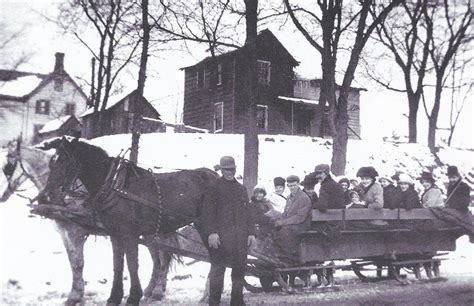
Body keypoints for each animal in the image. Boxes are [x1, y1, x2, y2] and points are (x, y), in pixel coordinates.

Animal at [0, 139, 180, 304]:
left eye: (8, 166)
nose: (2, 197)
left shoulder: (76, 233)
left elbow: (78, 263)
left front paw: (75, 295)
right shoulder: (64, 234)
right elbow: (73, 262)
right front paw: (76, 293)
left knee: (165, 255)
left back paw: (157, 291)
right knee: (158, 258)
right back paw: (151, 290)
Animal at [38, 138, 217, 306]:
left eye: (66, 162)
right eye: (52, 163)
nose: (45, 196)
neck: (114, 188)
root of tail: (215, 175)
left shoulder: (129, 234)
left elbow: (131, 264)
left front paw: (133, 297)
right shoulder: (115, 234)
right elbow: (117, 265)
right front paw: (114, 297)